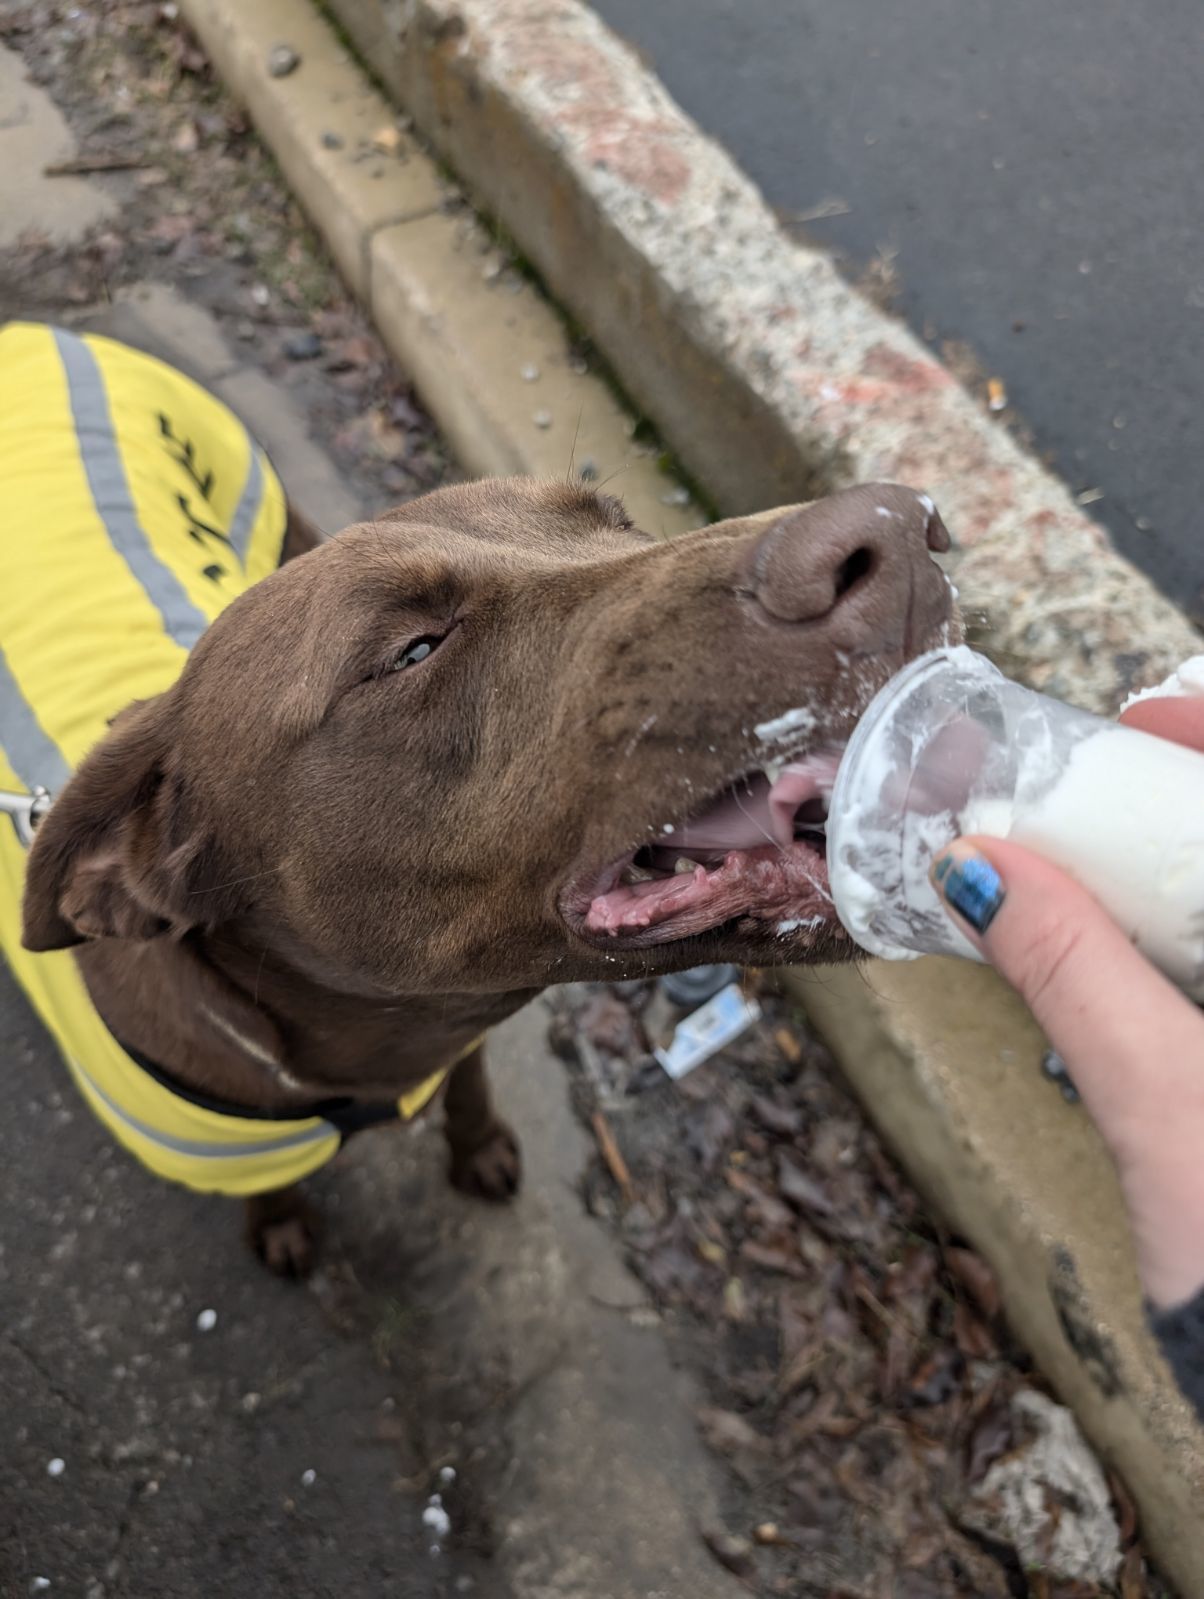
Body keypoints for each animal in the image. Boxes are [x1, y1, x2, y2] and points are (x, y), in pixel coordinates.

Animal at [7, 359, 946, 1272]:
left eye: (619, 518)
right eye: (412, 652)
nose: (903, 532)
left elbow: (472, 1084)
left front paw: (479, 1146)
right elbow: (269, 1184)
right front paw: (279, 1221)